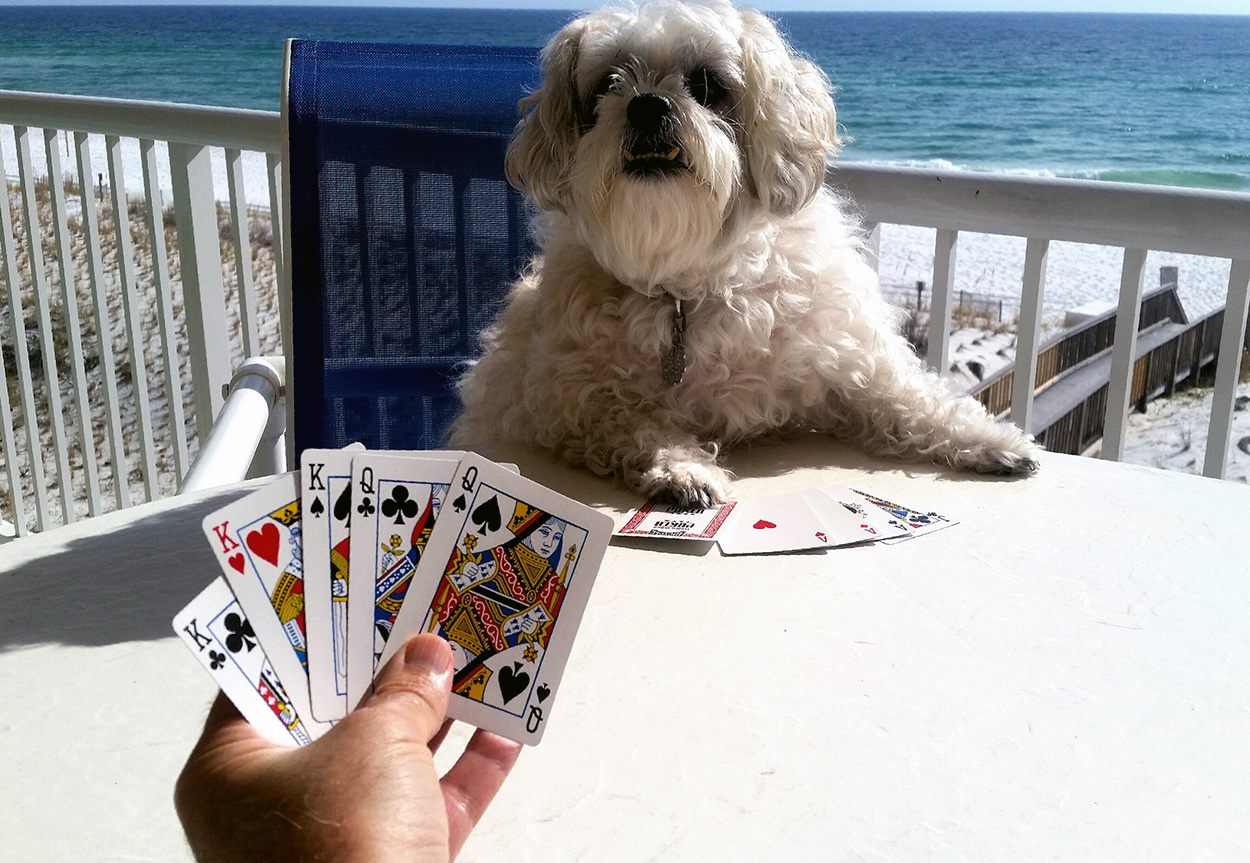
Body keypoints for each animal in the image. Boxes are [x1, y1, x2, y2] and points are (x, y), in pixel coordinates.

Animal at [450, 0, 1035, 500]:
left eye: (707, 84)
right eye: (607, 84)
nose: (647, 104)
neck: (687, 284)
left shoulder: (847, 363)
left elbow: (912, 398)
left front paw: (994, 440)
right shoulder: (560, 403)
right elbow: (630, 420)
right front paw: (680, 467)